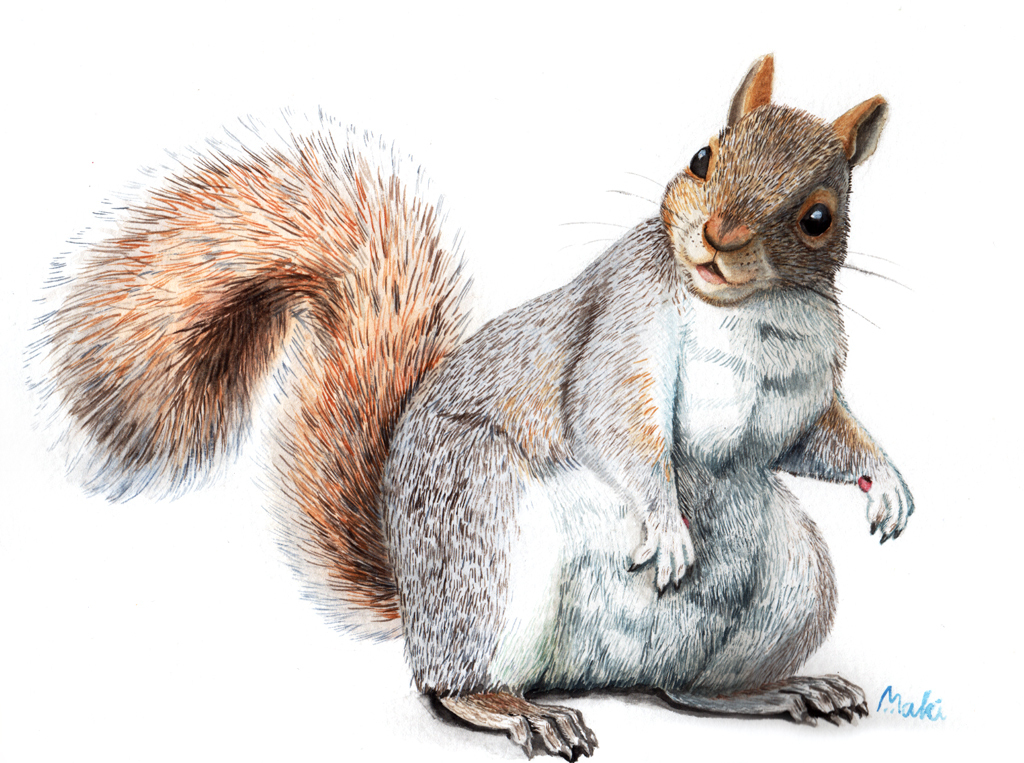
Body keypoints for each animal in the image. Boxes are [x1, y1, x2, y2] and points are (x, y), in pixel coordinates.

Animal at [36, 54, 914, 759]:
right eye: (701, 157)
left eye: (817, 217)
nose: (717, 238)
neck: (749, 312)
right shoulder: (621, 317)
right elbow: (612, 417)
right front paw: (665, 524)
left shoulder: (808, 377)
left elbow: (814, 437)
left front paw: (886, 480)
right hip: (484, 530)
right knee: (452, 685)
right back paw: (519, 710)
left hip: (794, 584)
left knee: (690, 689)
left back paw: (781, 689)